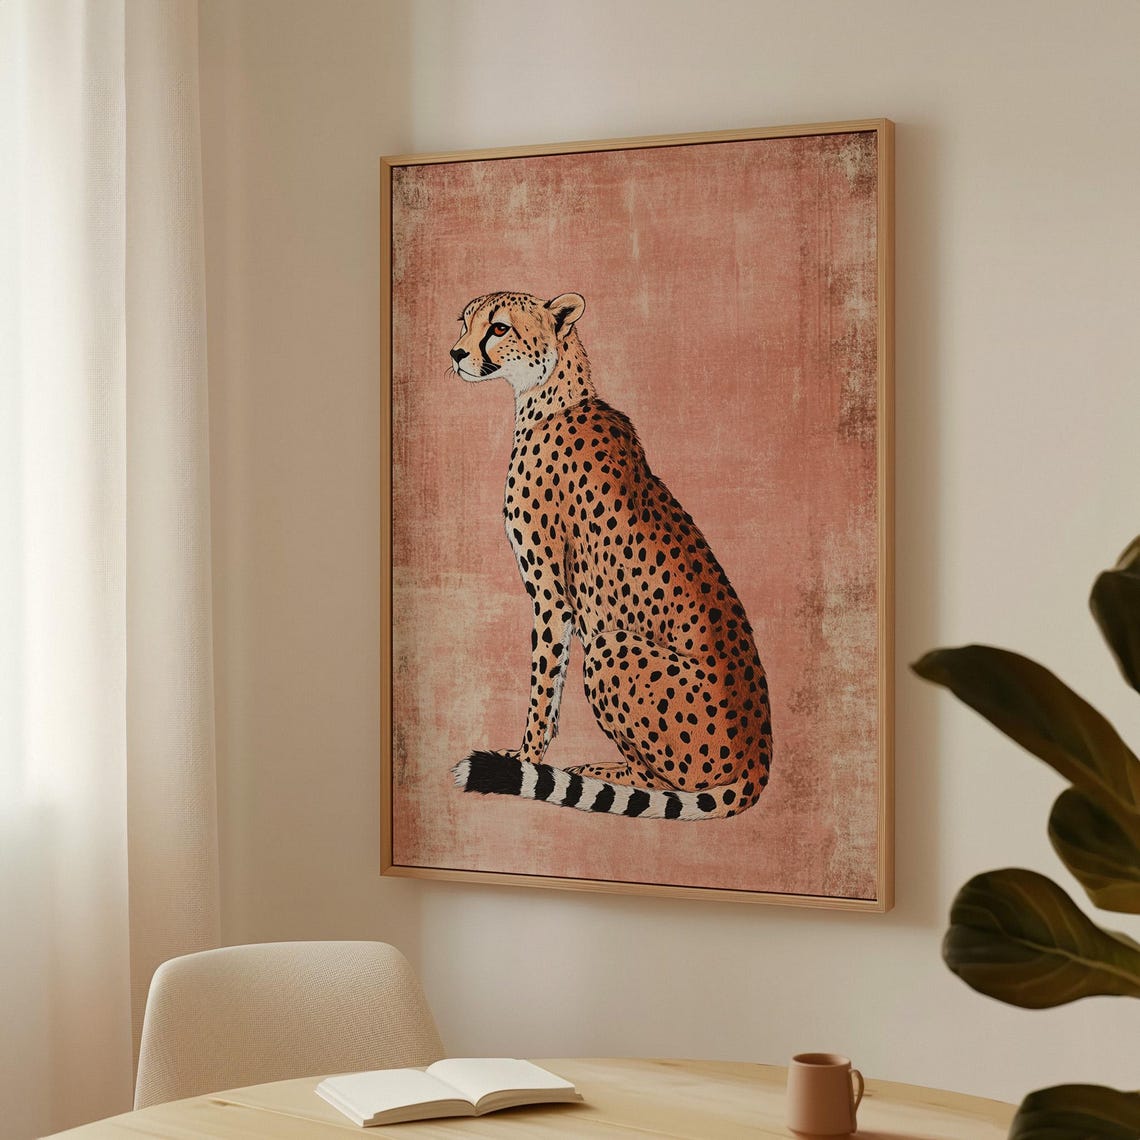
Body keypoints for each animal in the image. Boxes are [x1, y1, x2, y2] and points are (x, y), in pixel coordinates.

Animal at [450, 290, 772, 820]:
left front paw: (523, 760)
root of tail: (757, 756)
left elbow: (544, 685)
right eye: (465, 322)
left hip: (610, 645)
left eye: (498, 328)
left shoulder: (552, 597)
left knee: (664, 783)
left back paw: (599, 771)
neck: (549, 397)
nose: (456, 354)